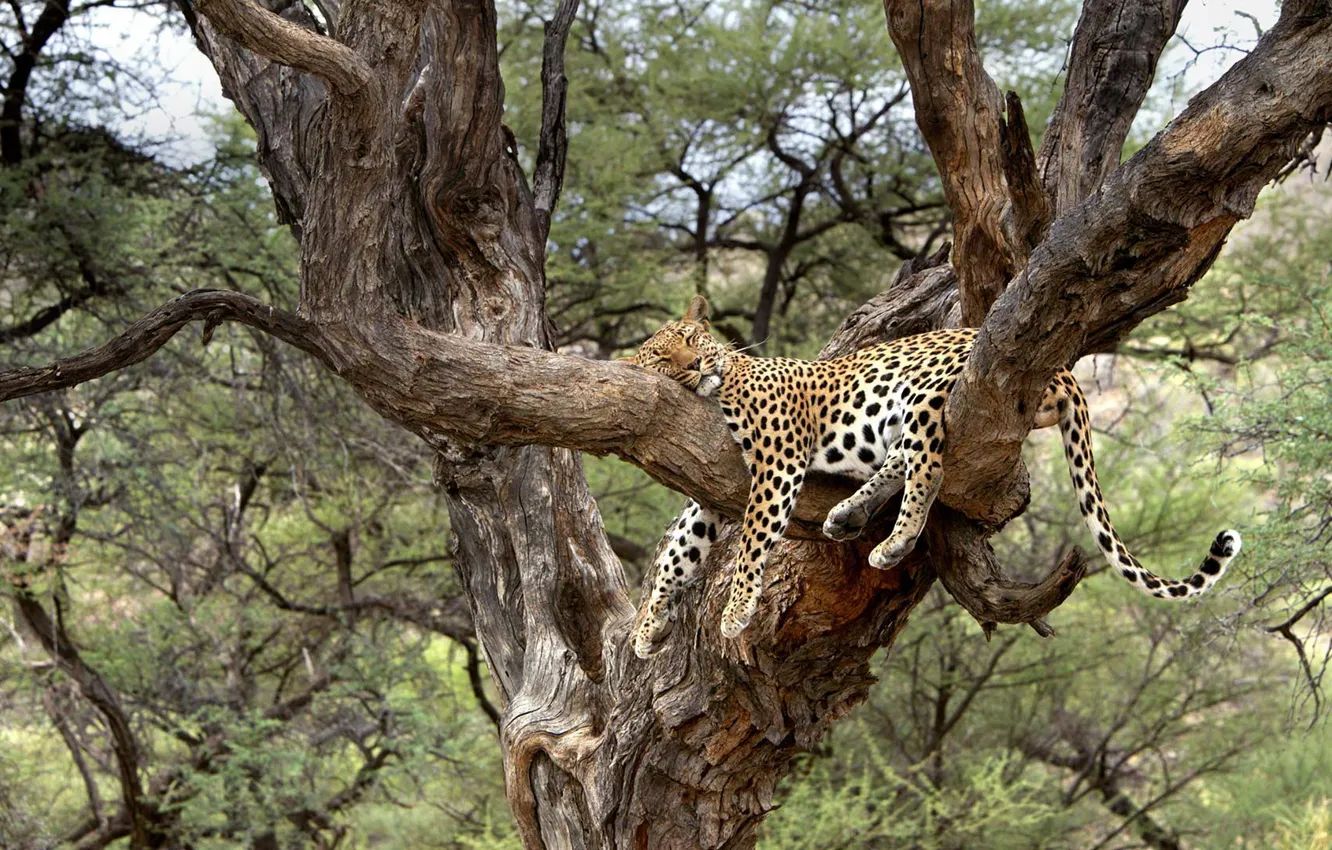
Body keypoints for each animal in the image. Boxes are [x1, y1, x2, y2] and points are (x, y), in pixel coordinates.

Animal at [625, 296, 1241, 659]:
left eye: (691, 340)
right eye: (661, 359)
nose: (694, 366)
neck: (722, 385)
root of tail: (1064, 369)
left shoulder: (777, 462)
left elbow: (753, 540)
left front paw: (735, 612)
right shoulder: (708, 490)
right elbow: (678, 551)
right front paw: (647, 626)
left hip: (924, 393)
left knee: (928, 469)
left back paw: (894, 542)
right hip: (899, 417)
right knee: (902, 460)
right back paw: (848, 514)